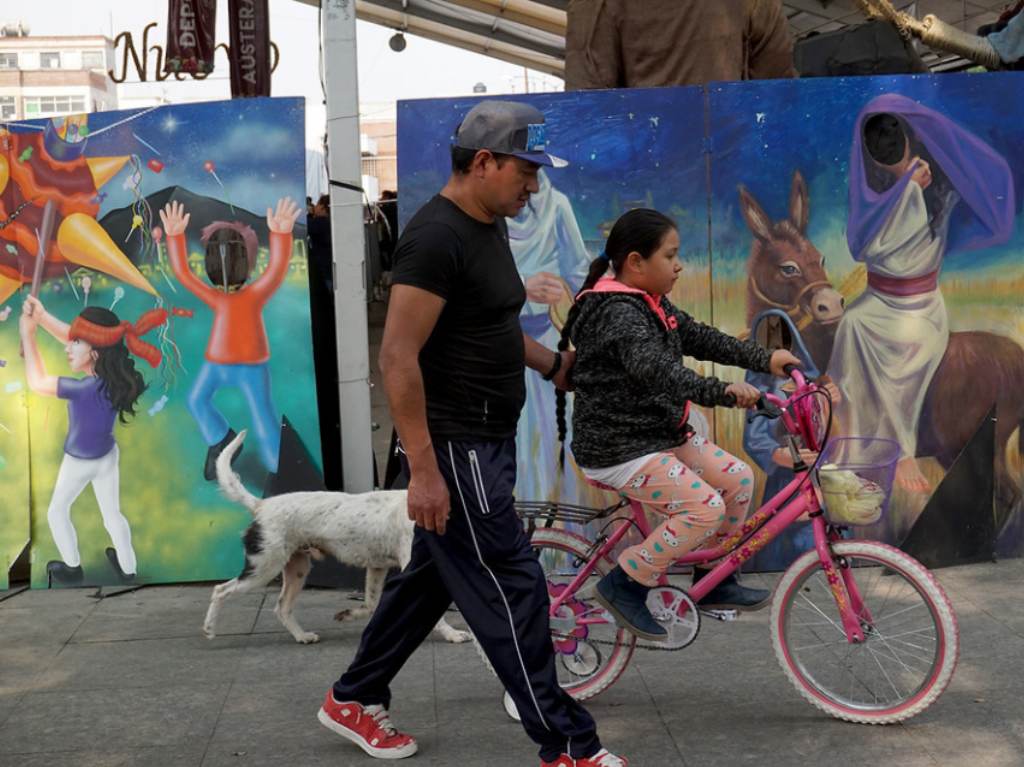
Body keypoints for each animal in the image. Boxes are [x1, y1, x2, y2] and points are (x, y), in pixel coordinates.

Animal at [200, 434, 471, 643]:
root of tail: (261, 505)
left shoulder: (377, 567)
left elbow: (371, 604)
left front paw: (348, 614)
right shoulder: (409, 568)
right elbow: (434, 615)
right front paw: (453, 634)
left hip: (297, 568)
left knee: (282, 607)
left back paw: (302, 636)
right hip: (264, 568)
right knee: (220, 590)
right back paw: (210, 629)